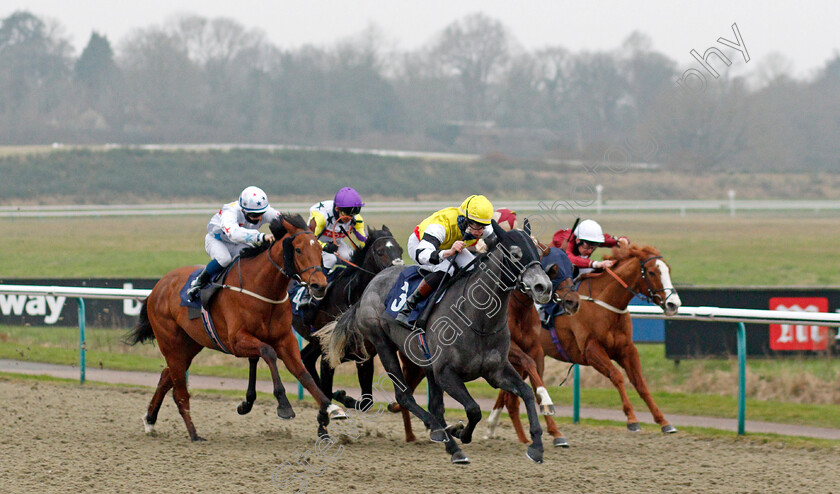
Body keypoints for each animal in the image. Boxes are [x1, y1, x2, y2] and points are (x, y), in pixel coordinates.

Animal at [123, 215, 340, 440]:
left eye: (320, 249)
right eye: (298, 249)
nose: (319, 285)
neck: (262, 289)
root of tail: (158, 286)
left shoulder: (284, 339)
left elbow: (303, 373)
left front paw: (330, 407)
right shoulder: (237, 341)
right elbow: (268, 352)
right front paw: (284, 405)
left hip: (190, 344)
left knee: (167, 377)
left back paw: (150, 420)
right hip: (170, 342)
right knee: (180, 391)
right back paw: (193, 434)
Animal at [235, 226, 406, 414]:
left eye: (400, 250)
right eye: (380, 251)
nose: (398, 275)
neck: (351, 297)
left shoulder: (364, 355)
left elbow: (366, 403)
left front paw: (341, 396)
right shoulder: (328, 354)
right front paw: (337, 398)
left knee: (306, 358)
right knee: (257, 357)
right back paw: (247, 402)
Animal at [320, 223, 552, 464]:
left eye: (538, 252)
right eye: (515, 254)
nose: (543, 287)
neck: (477, 318)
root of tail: (370, 284)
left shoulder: (495, 371)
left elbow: (526, 392)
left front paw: (536, 446)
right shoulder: (446, 373)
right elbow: (474, 409)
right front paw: (460, 435)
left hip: (421, 361)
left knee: (434, 406)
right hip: (382, 345)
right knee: (404, 396)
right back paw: (445, 438)